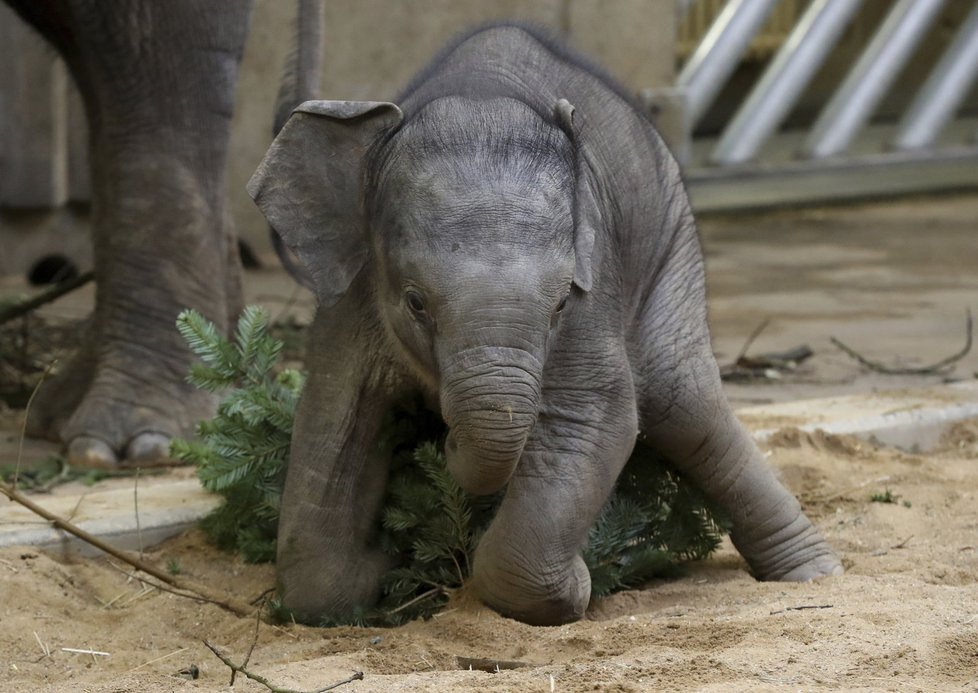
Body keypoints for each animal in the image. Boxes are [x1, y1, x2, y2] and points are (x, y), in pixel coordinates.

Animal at [246, 24, 840, 624]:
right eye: (415, 303)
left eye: (557, 307)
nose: (442, 440)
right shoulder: (350, 294)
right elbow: (335, 417)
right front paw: (377, 568)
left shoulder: (592, 285)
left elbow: (595, 412)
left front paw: (578, 585)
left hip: (673, 250)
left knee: (685, 406)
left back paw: (816, 575)